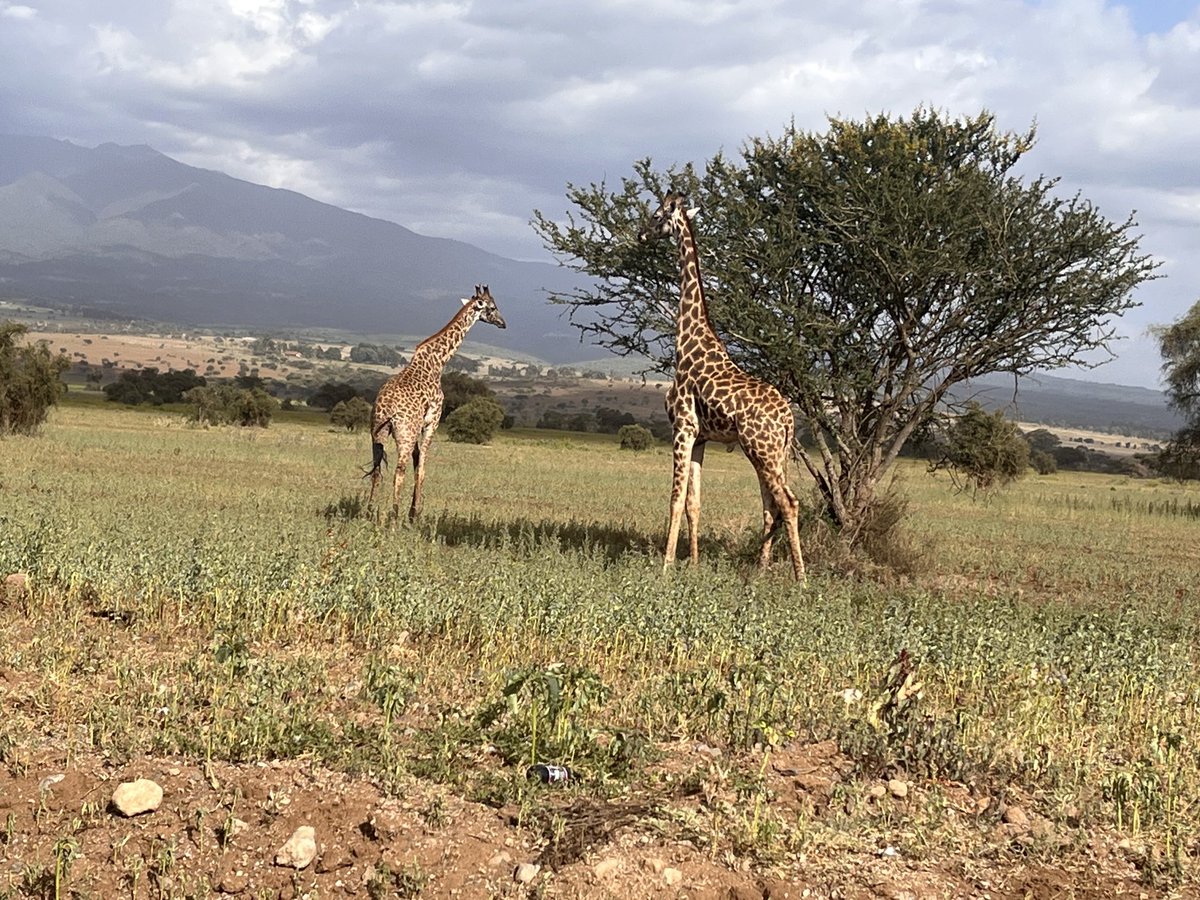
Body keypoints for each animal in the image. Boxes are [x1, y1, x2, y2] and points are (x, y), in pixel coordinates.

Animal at [365, 284, 506, 520]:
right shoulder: (433, 421)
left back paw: (368, 512)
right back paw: (394, 516)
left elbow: (417, 462)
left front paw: (413, 511)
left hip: (377, 433)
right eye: (493, 307)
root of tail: (388, 411)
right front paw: (414, 514)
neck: (437, 363)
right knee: (399, 471)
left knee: (377, 471)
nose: (503, 323)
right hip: (405, 434)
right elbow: (422, 466)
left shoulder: (418, 427)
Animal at [639, 193, 805, 580]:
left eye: (656, 216)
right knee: (771, 506)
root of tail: (788, 419)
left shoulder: (682, 427)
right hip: (769, 453)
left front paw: (665, 567)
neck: (687, 341)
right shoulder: (701, 436)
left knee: (789, 503)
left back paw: (801, 579)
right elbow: (693, 503)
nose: (640, 235)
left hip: (762, 450)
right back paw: (760, 571)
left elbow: (674, 499)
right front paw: (694, 563)